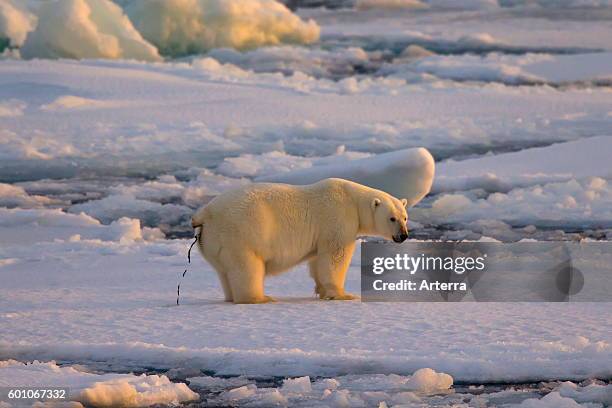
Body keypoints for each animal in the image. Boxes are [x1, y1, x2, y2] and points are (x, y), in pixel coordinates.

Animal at [191, 178, 408, 302]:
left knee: (224, 271)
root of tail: (205, 214)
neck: (353, 199)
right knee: (247, 267)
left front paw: (322, 291)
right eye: (392, 218)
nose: (403, 235)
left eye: (405, 217)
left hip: (214, 242)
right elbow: (335, 256)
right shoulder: (338, 217)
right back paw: (261, 298)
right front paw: (343, 294)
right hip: (240, 235)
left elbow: (317, 260)